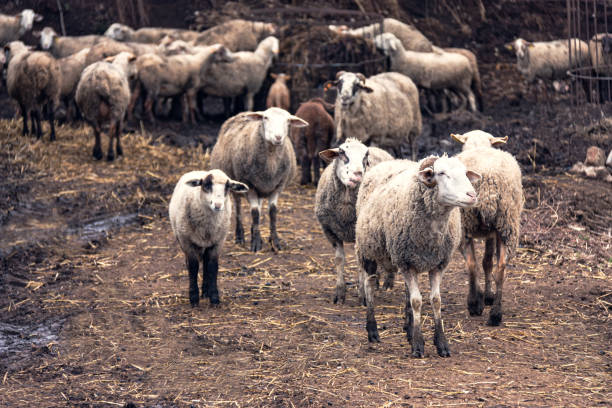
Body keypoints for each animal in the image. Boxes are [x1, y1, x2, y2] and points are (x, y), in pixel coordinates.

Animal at [167, 169, 249, 306]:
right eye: (206, 185)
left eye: (228, 187)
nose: (218, 205)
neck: (207, 228)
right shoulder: (186, 241)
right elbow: (193, 266)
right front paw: (194, 298)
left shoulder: (218, 242)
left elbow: (212, 266)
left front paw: (214, 297)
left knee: (206, 263)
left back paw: (205, 291)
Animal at [210, 107, 308, 252]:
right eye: (265, 118)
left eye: (288, 121)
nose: (278, 137)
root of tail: (242, 113)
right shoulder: (249, 185)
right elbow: (255, 213)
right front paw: (255, 243)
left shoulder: (278, 186)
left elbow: (272, 213)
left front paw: (274, 241)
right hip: (235, 185)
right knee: (238, 209)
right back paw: (240, 236)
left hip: (260, 189)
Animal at [316, 139, 392, 304]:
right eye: (342, 152)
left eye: (366, 155)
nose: (358, 174)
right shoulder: (330, 232)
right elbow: (339, 260)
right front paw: (339, 294)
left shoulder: (359, 233)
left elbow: (359, 263)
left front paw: (362, 294)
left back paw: (387, 283)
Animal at [354, 155, 482, 356]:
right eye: (441, 173)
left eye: (464, 173)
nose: (472, 195)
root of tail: (391, 161)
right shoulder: (406, 263)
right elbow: (416, 301)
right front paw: (418, 344)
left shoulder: (437, 264)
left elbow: (435, 301)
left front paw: (441, 343)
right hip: (368, 250)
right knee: (369, 285)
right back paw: (372, 330)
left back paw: (408, 328)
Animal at [450, 129, 524, 326]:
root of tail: (489, 180)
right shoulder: (493, 232)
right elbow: (488, 262)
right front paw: (487, 296)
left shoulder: (489, 233)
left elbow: (484, 263)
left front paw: (483, 296)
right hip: (507, 223)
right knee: (500, 268)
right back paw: (496, 314)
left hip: (465, 223)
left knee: (471, 264)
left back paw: (474, 304)